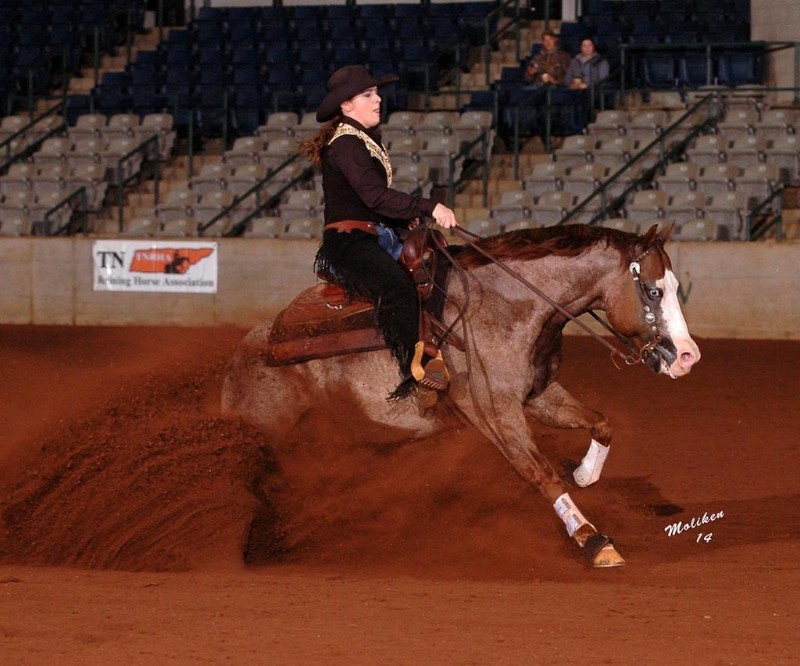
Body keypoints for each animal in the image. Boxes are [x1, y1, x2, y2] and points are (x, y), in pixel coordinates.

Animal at [220, 222, 700, 564]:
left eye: (678, 288)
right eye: (653, 290)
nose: (688, 357)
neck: (506, 306)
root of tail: (243, 356)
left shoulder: (537, 395)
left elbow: (601, 422)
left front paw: (585, 473)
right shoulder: (495, 411)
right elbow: (541, 474)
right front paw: (593, 539)